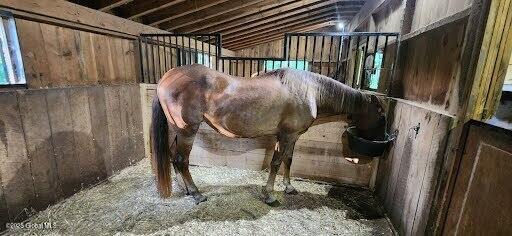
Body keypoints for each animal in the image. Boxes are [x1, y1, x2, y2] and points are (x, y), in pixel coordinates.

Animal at [150, 64, 386, 205]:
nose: (383, 141)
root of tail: (166, 78)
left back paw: (185, 189)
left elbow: (288, 160)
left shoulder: (292, 136)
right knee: (182, 160)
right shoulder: (285, 136)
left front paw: (289, 187)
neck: (309, 91)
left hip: (177, 130)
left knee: (173, 156)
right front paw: (270, 194)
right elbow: (276, 162)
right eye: (381, 115)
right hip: (188, 130)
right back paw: (197, 193)